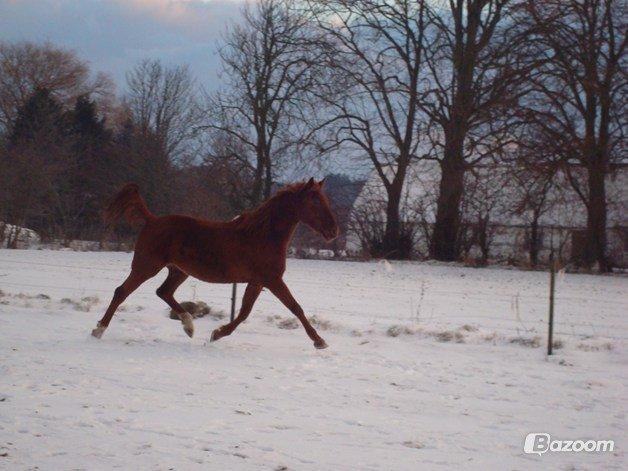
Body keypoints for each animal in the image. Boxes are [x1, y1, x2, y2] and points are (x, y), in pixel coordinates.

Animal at [91, 179, 338, 348]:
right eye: (315, 202)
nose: (333, 231)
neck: (262, 235)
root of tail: (151, 219)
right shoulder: (272, 280)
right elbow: (295, 307)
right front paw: (319, 341)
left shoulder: (257, 282)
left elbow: (244, 312)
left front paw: (216, 334)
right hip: (146, 266)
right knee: (122, 291)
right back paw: (98, 330)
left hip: (178, 270)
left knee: (163, 292)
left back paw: (189, 326)